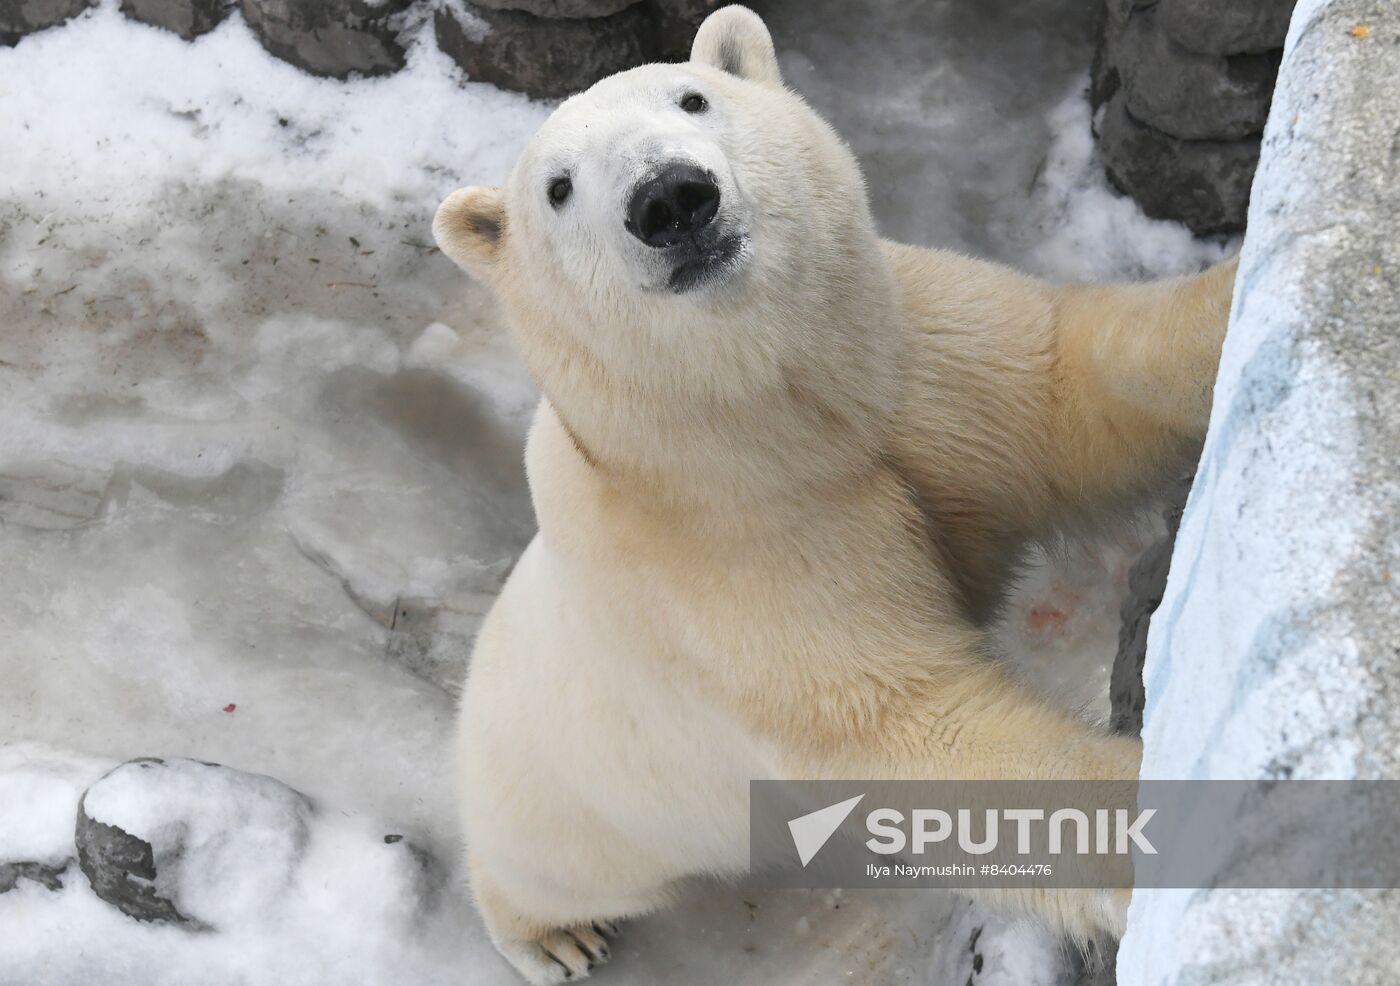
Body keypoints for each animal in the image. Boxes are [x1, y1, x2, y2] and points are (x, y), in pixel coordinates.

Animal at [432, 7, 1237, 983]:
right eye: (556, 188)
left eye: (693, 98)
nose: (671, 199)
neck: (779, 425)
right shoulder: (723, 557)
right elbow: (902, 728)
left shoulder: (918, 359)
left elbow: (1079, 382)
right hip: (568, 805)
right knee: (545, 873)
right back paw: (556, 940)